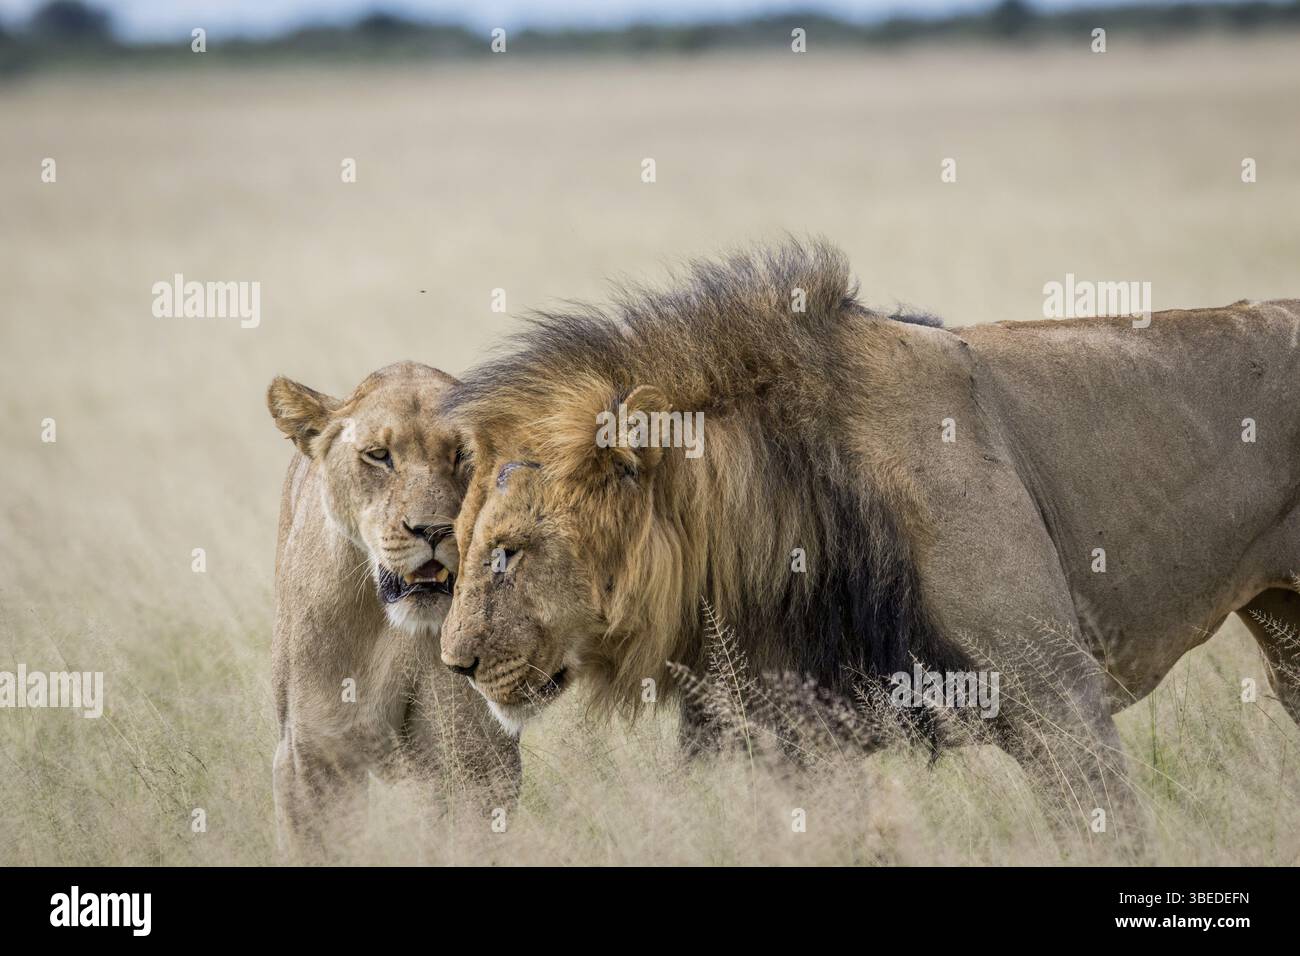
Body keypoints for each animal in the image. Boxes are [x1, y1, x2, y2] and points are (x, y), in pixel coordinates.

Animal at [267, 362, 519, 856]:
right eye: (379, 456)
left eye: (464, 453)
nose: (435, 529)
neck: (394, 630)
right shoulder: (312, 755)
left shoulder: (479, 756)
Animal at [437, 240, 1300, 844]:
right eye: (461, 542)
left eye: (510, 550)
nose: (455, 664)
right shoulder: (794, 738)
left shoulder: (1057, 695)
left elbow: (1106, 831)